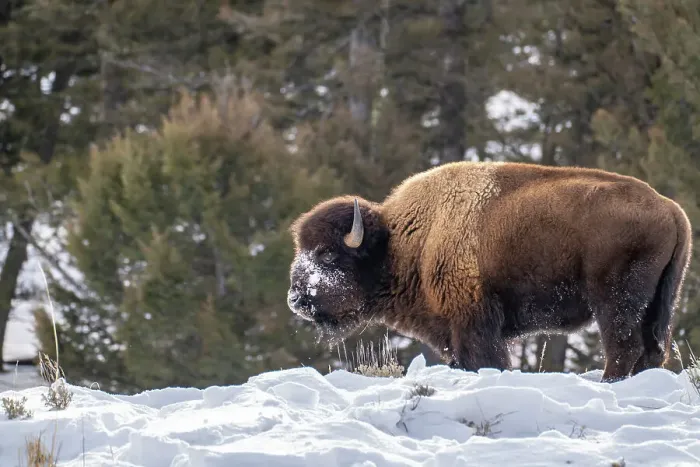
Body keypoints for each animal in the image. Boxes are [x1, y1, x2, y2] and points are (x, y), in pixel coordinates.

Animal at [287, 161, 692, 382]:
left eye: (328, 254)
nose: (295, 299)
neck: (405, 240)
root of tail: (671, 209)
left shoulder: (473, 321)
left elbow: (483, 360)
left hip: (615, 302)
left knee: (624, 347)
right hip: (661, 301)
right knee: (652, 350)